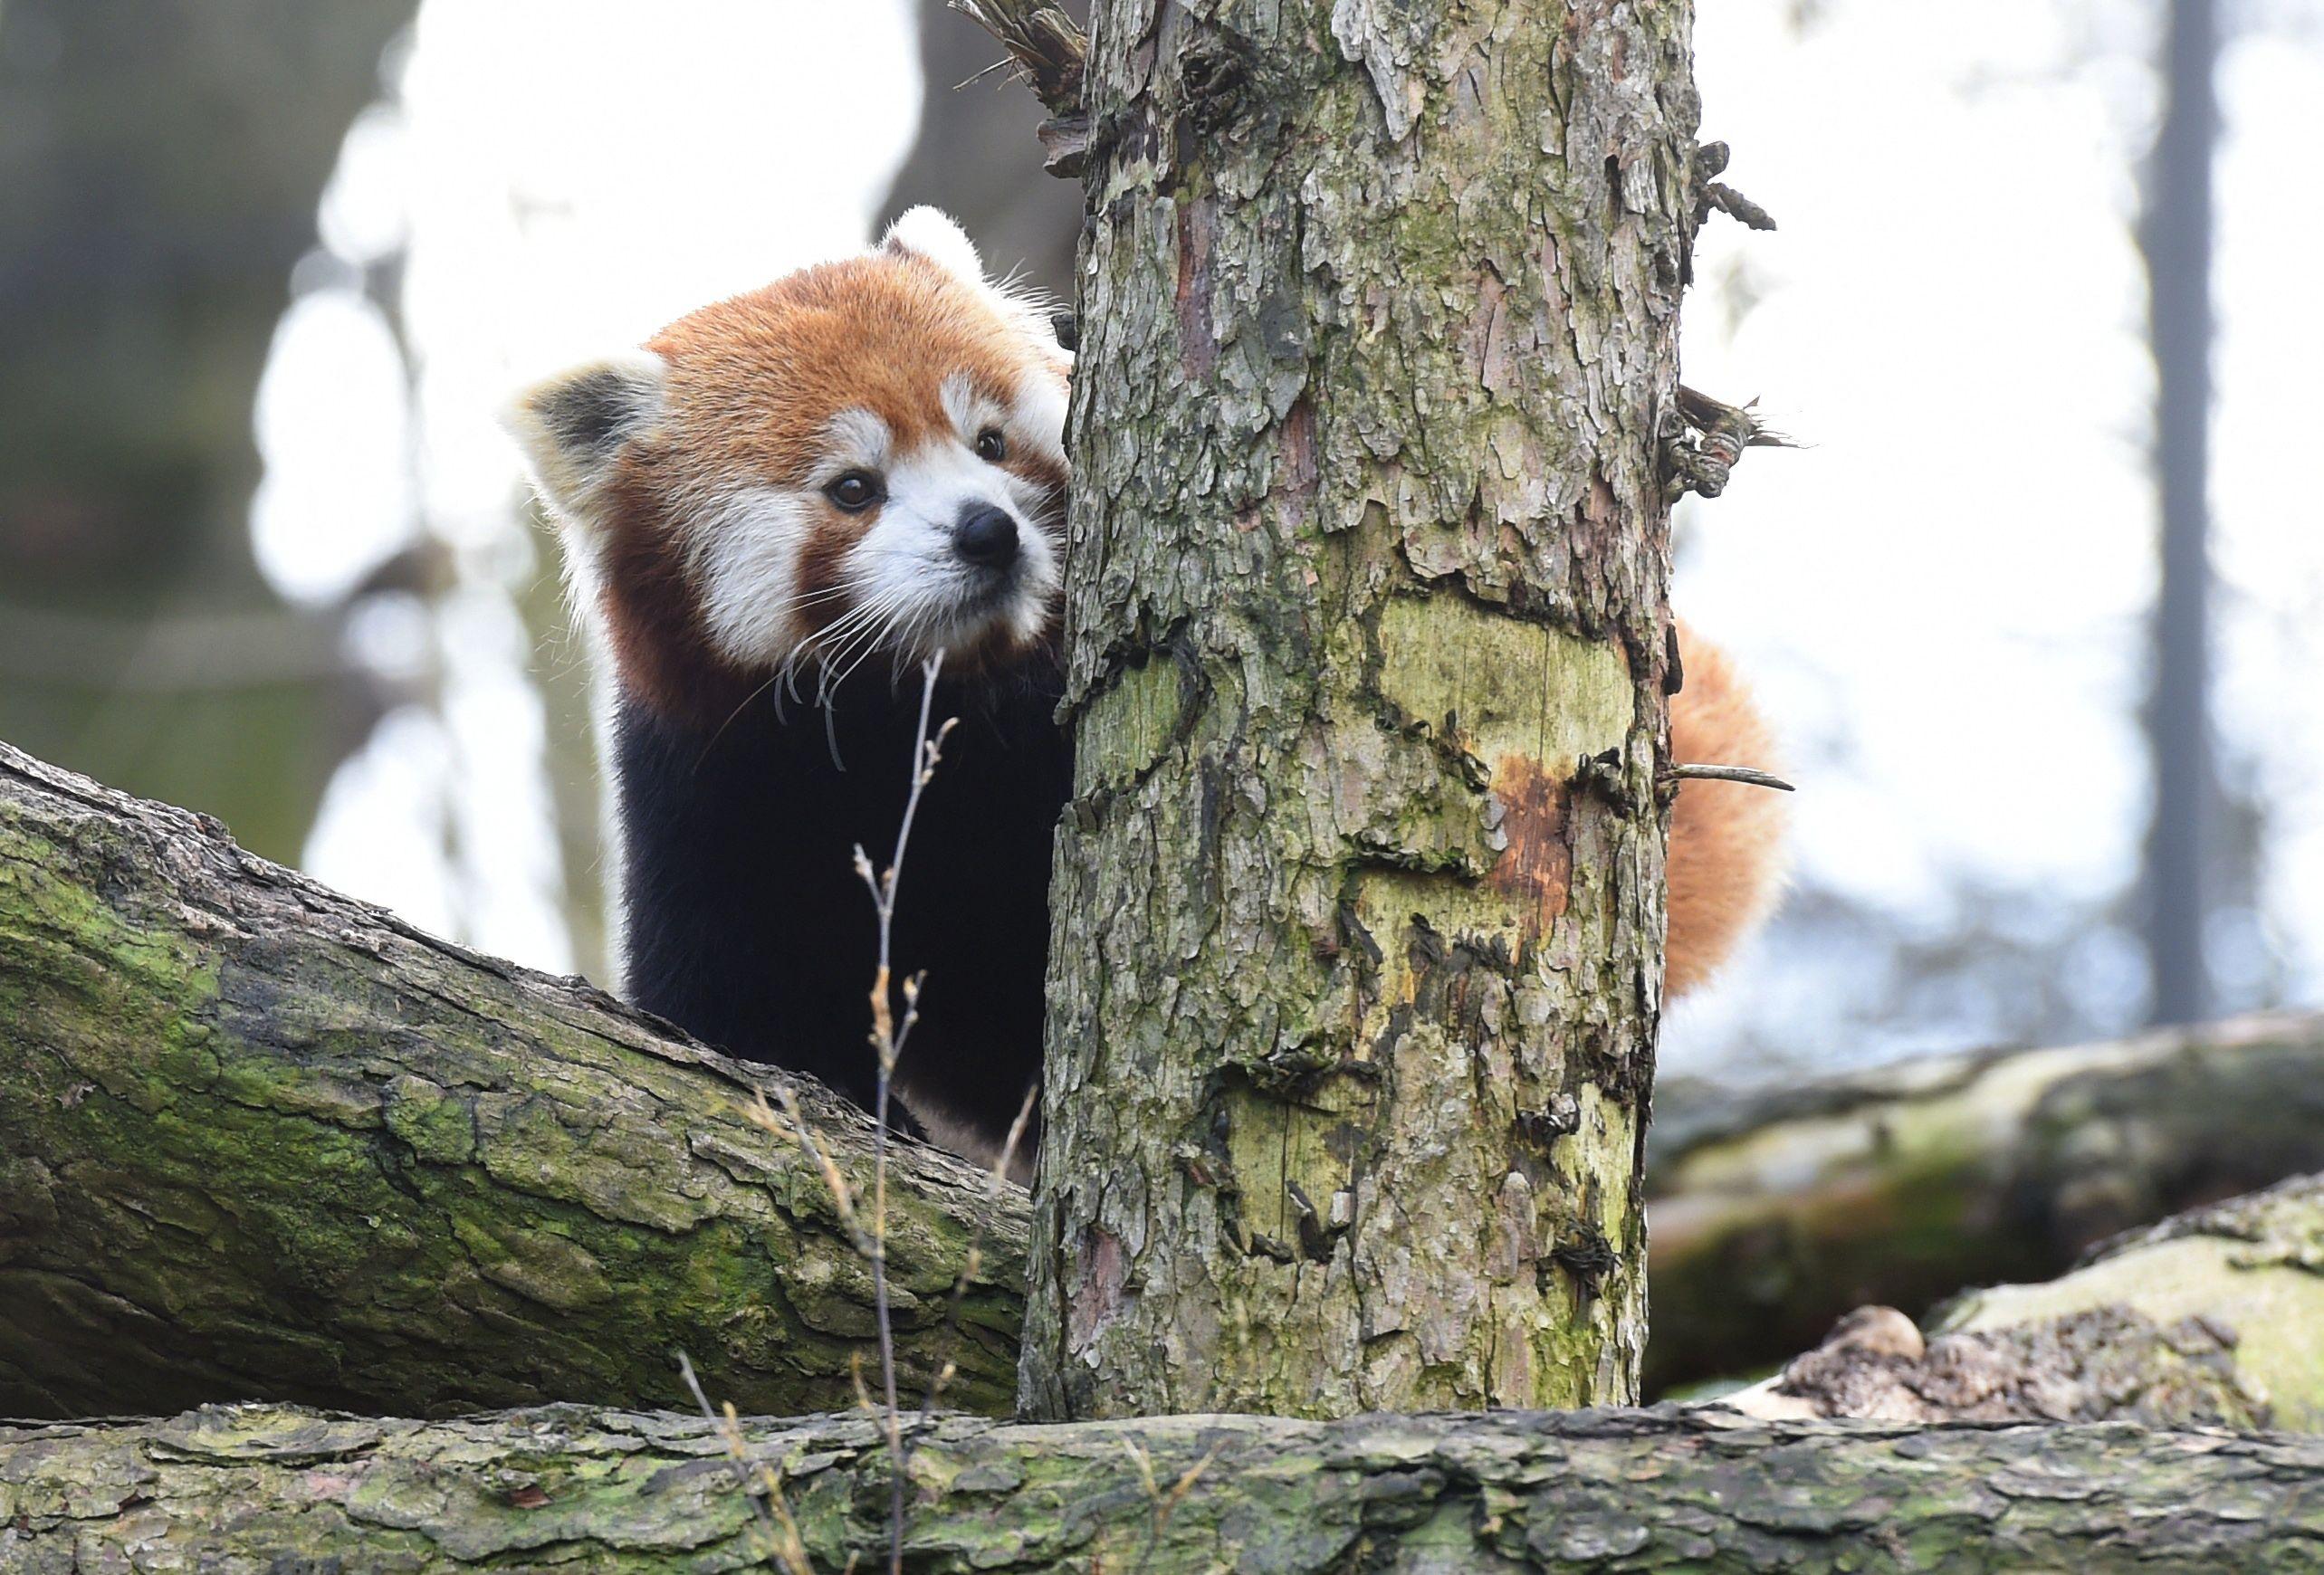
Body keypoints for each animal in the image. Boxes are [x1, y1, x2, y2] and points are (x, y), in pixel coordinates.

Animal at [504, 210, 1775, 1170]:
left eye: (989, 443)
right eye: (853, 488)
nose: (986, 534)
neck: (927, 714)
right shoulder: (711, 797)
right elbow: (734, 1012)